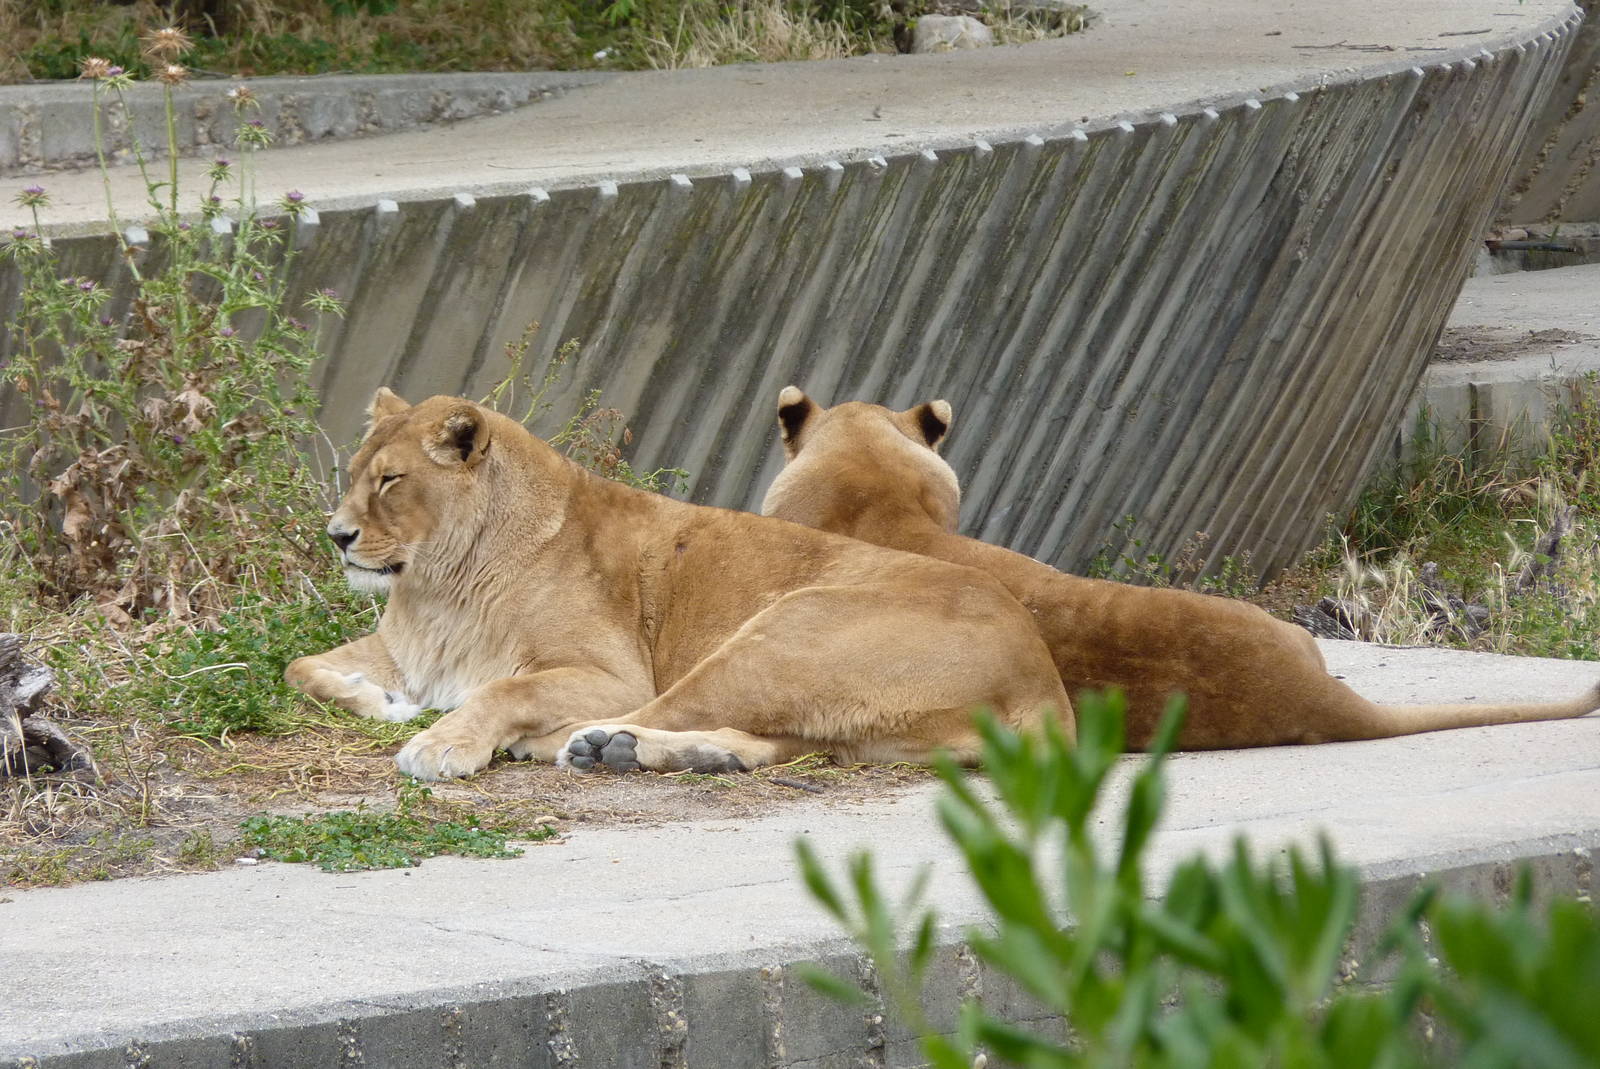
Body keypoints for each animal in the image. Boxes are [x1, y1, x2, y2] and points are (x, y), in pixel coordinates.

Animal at [285, 388, 1071, 781]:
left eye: (391, 480)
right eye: (354, 472)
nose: (337, 535)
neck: (437, 586)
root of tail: (1042, 674)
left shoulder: (612, 672)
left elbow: (505, 688)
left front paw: (442, 743)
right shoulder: (407, 650)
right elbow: (301, 668)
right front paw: (379, 701)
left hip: (782, 634)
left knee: (657, 708)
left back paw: (587, 744)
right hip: (853, 724)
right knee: (770, 740)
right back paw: (653, 753)